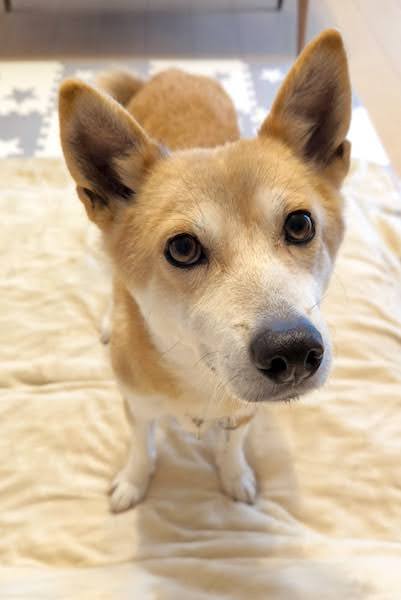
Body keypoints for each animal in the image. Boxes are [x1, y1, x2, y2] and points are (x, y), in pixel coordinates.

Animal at [58, 29, 351, 512]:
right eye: (182, 248)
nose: (292, 349)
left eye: (300, 225)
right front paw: (133, 483)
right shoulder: (136, 403)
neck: (199, 382)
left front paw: (235, 477)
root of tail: (178, 71)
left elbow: (232, 447)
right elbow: (141, 446)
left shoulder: (243, 412)